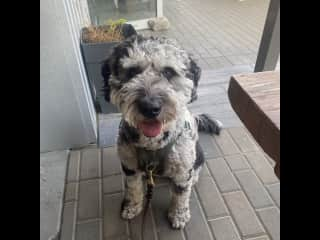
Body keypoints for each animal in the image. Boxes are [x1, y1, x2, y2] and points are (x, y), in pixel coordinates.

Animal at [101, 34, 221, 229]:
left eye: (168, 72)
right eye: (132, 72)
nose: (150, 107)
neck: (153, 144)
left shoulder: (183, 169)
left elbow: (181, 195)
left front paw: (179, 215)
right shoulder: (129, 164)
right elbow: (133, 188)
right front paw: (132, 206)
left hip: (198, 155)